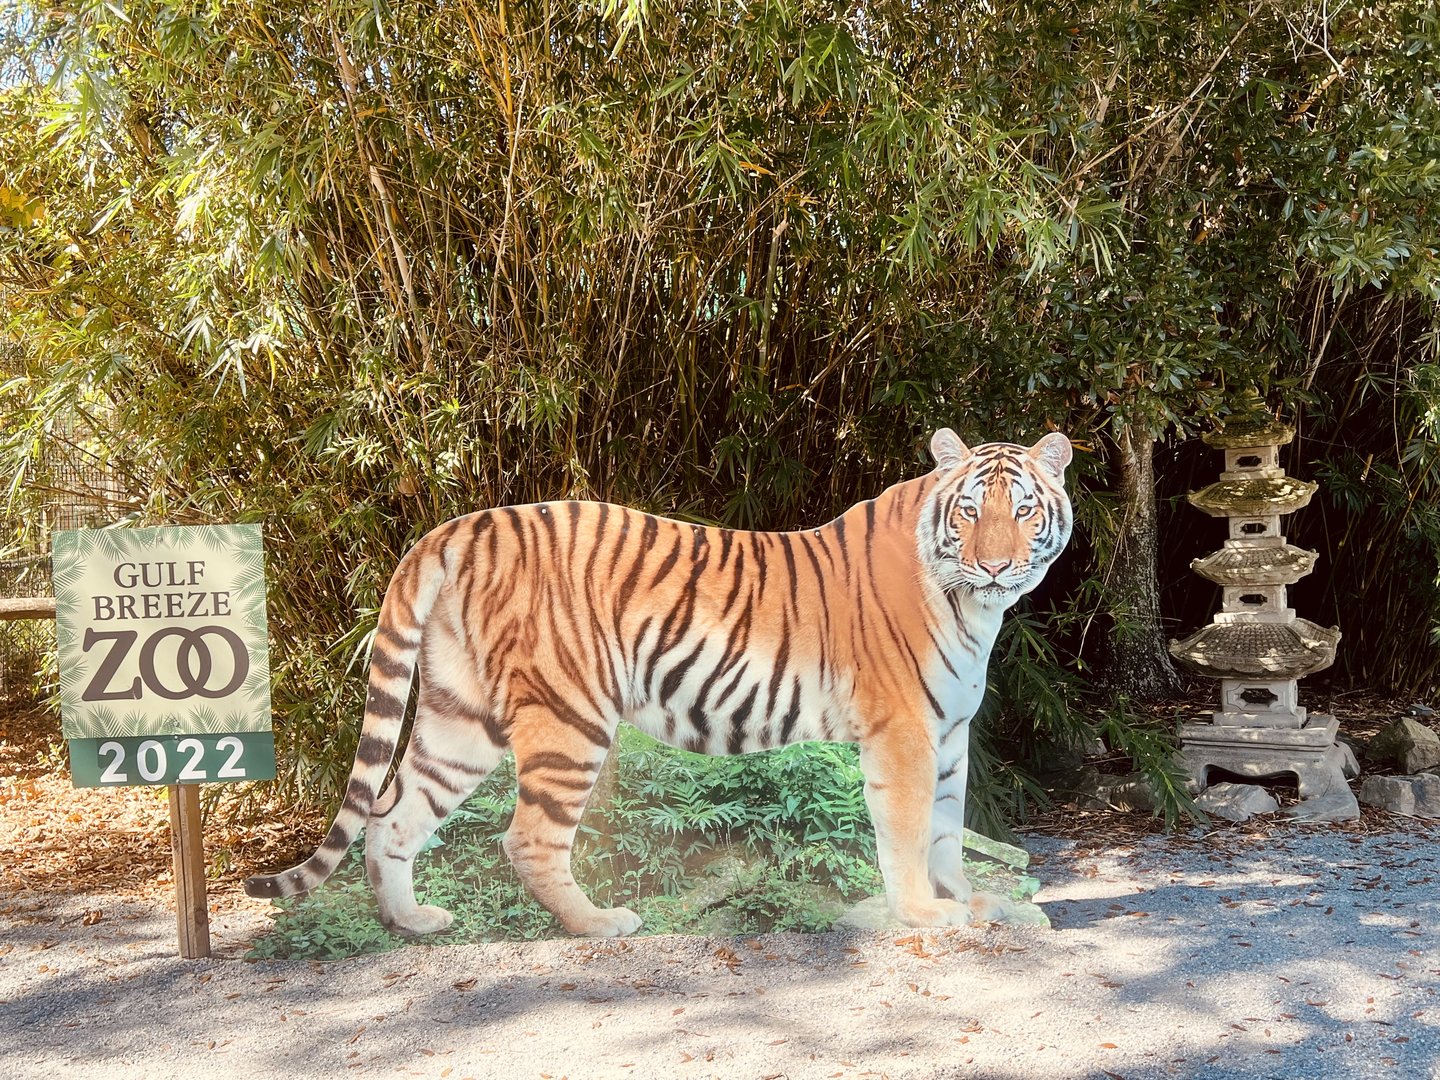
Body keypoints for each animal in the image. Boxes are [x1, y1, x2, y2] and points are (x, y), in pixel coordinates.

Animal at [245, 428, 1073, 937]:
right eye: (970, 511)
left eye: (1024, 510)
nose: (996, 565)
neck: (977, 609)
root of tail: (458, 527)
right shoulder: (902, 731)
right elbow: (905, 828)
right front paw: (923, 915)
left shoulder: (949, 732)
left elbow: (947, 827)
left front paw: (972, 900)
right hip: (569, 716)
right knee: (527, 836)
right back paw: (598, 923)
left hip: (460, 716)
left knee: (392, 815)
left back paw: (410, 924)